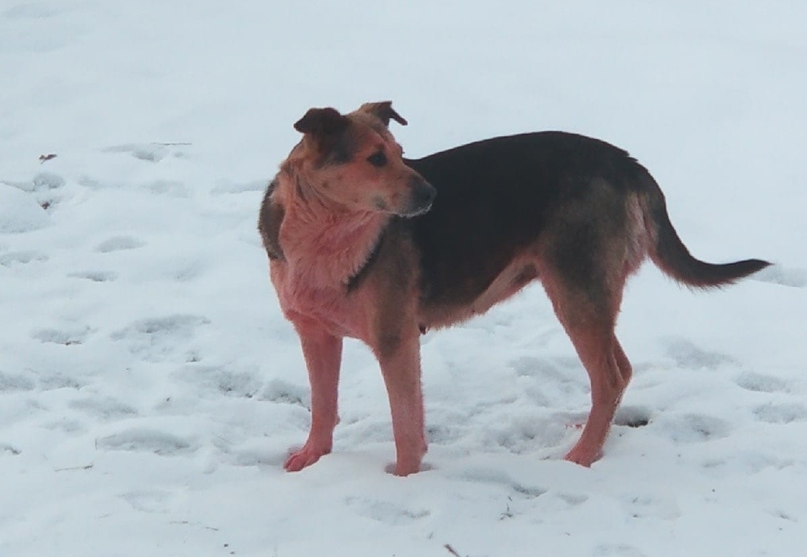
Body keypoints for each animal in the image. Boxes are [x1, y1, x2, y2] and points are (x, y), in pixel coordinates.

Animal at [258, 100, 772, 474]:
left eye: (401, 153)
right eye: (376, 159)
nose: (432, 196)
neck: (326, 233)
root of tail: (628, 165)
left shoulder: (395, 340)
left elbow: (405, 424)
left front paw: (404, 480)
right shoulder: (315, 334)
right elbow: (322, 406)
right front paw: (311, 460)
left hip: (575, 291)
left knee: (610, 374)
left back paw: (581, 457)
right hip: (585, 294)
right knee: (618, 370)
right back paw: (590, 433)